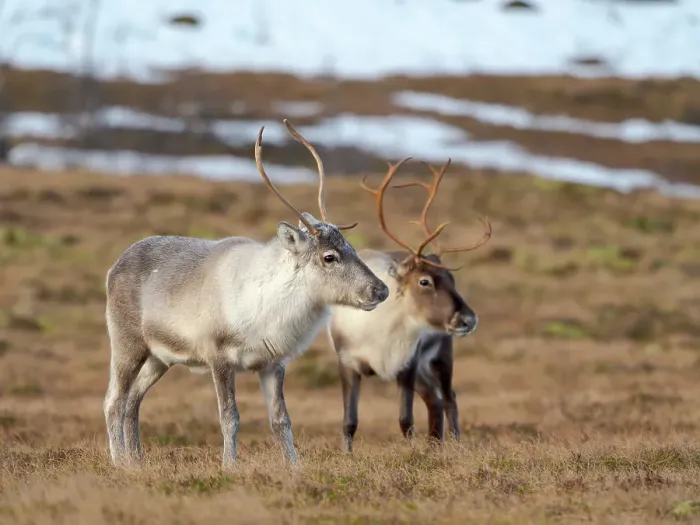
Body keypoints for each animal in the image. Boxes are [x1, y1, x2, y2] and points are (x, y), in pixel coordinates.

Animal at [103, 120, 390, 470]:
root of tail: (113, 267)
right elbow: (230, 417)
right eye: (329, 257)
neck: (268, 305)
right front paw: (229, 466)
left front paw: (295, 468)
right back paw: (120, 463)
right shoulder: (219, 358)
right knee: (114, 400)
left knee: (134, 400)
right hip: (128, 345)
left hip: (159, 358)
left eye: (351, 248)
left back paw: (138, 462)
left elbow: (281, 420)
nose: (381, 290)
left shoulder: (272, 364)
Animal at [327, 157, 491, 452]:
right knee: (434, 400)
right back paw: (435, 444)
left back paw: (453, 443)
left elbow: (406, 420)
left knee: (448, 397)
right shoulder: (347, 362)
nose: (469, 319)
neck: (379, 330)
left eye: (452, 278)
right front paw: (346, 454)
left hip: (440, 357)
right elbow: (349, 422)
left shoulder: (407, 365)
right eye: (424, 281)